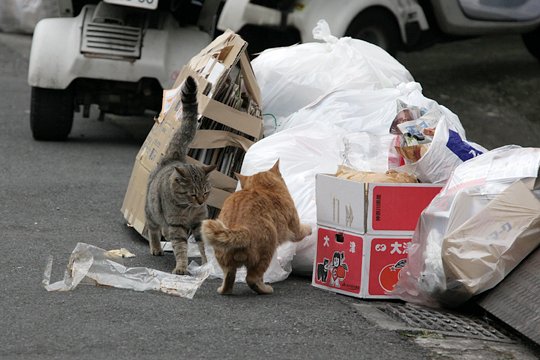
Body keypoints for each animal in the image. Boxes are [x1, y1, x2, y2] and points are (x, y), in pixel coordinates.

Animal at [148, 75, 217, 272]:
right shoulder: (176, 225)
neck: (189, 209)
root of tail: (174, 157)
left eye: (206, 193)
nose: (201, 201)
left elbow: (202, 245)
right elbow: (180, 247)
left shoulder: (199, 222)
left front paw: (206, 265)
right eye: (192, 194)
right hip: (152, 212)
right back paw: (156, 247)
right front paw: (181, 267)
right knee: (153, 229)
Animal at [201, 160, 312, 296]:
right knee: (251, 278)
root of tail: (241, 229)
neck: (262, 188)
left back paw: (223, 289)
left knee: (229, 278)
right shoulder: (296, 230)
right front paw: (311, 228)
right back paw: (266, 289)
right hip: (267, 250)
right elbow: (304, 230)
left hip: (225, 261)